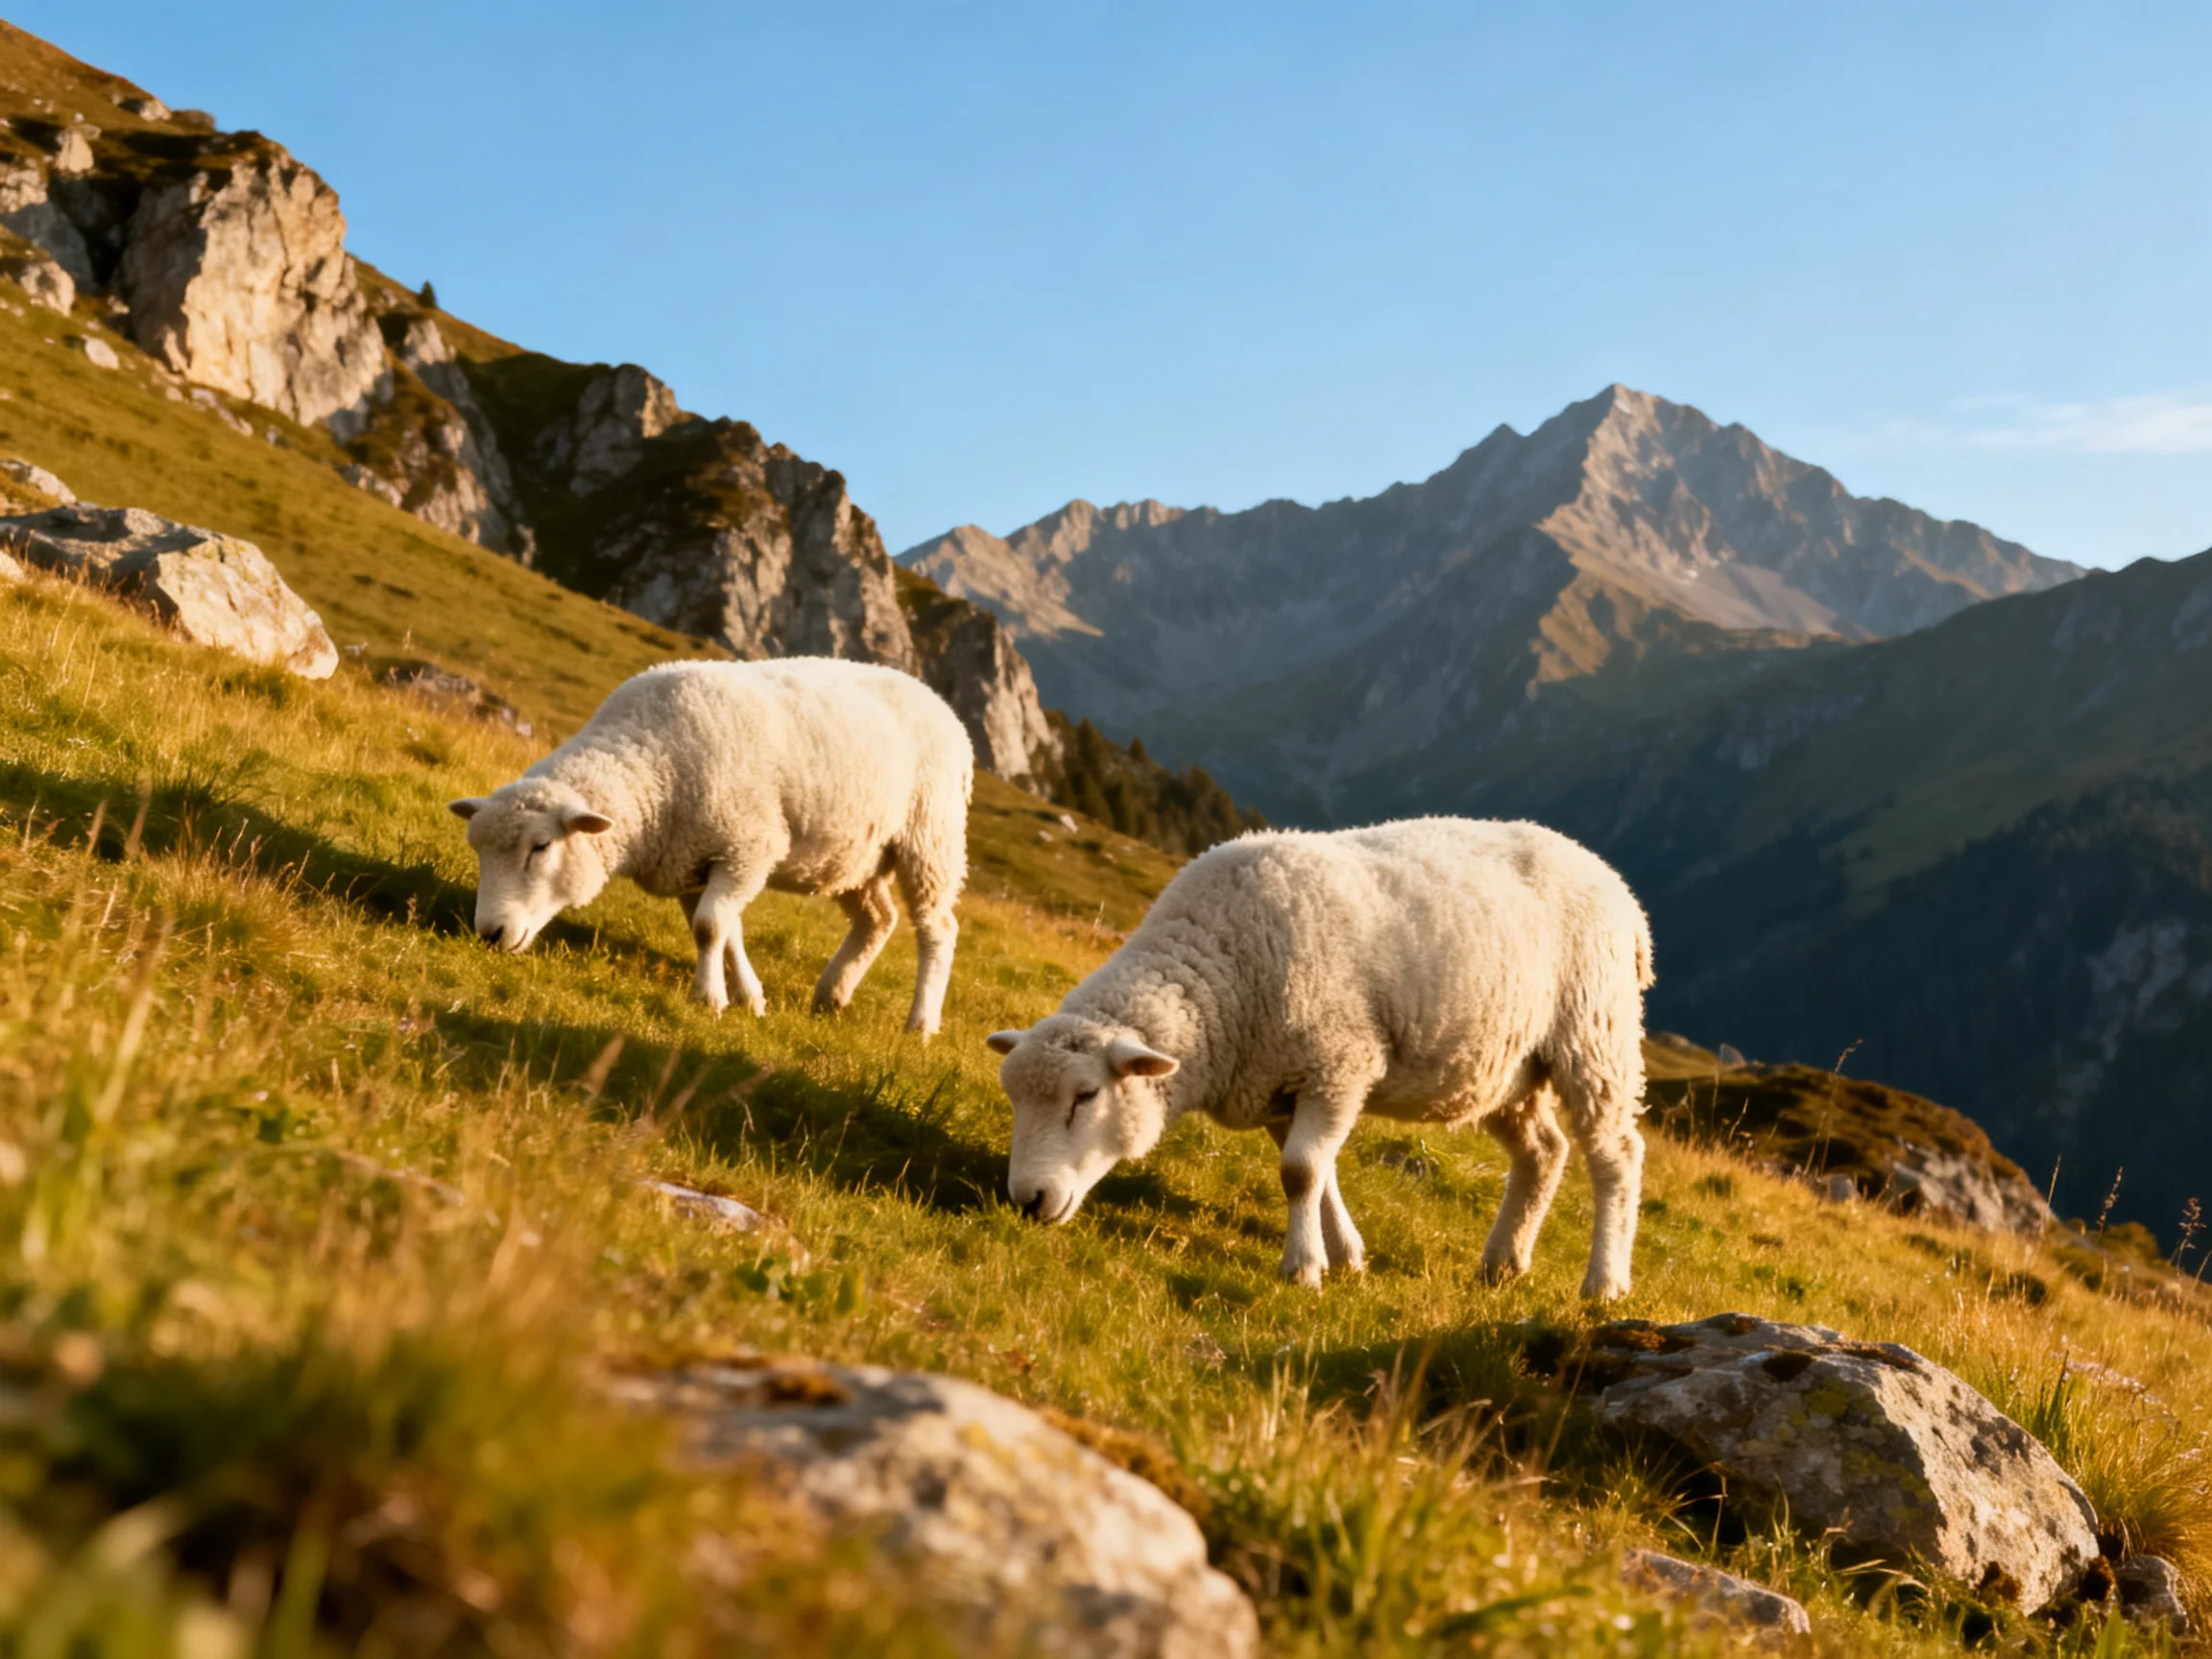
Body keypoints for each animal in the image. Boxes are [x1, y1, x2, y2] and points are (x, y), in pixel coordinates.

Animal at [448, 658, 972, 1036]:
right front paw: (749, 996)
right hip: (855, 857)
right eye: (480, 852)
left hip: (931, 838)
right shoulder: (690, 863)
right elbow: (723, 930)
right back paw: (832, 994)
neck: (652, 761)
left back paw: (921, 1023)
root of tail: (937, 700)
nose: (490, 933)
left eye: (540, 847)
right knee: (877, 919)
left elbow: (709, 927)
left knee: (938, 930)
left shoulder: (750, 847)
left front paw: (709, 999)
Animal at [986, 818, 1654, 1297]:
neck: (1223, 971)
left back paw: (1604, 1283)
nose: (1027, 1202)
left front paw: (1303, 1268)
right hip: (1505, 1068)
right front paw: (1346, 1254)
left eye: (1086, 1096)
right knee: (1544, 1151)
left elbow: (1301, 1172)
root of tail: (1615, 885)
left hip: (1595, 1035)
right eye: (1014, 1099)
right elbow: (1316, 1170)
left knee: (1615, 1156)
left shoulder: (1339, 1062)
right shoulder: (1282, 1083)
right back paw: (1503, 1263)